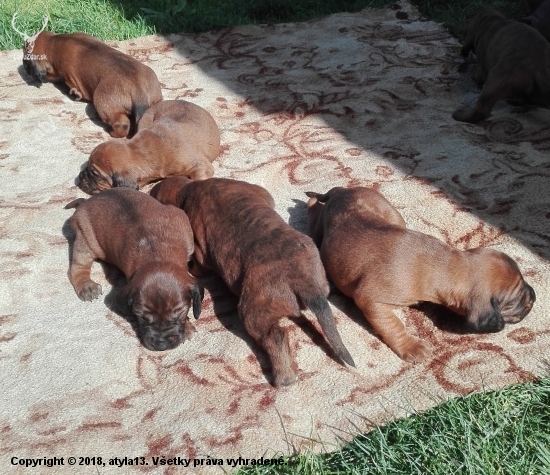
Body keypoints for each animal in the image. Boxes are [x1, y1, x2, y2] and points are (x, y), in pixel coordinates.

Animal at [23, 31, 162, 138]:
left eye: (26, 57)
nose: (23, 67)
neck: (54, 43)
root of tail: (139, 92)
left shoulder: (73, 82)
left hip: (102, 102)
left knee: (122, 124)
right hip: (156, 100)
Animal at [65, 188, 203, 352]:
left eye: (180, 314)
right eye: (141, 317)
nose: (161, 345)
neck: (156, 255)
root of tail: (85, 202)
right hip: (85, 241)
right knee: (76, 267)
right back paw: (86, 285)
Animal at [151, 177, 358, 388]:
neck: (189, 189)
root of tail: (305, 282)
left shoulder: (200, 253)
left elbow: (197, 265)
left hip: (253, 312)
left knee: (276, 337)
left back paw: (284, 379)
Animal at [306, 188, 536, 362]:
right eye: (513, 301)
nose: (534, 295)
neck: (446, 264)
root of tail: (341, 191)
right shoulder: (371, 300)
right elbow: (393, 325)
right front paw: (411, 346)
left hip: (392, 214)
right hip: (318, 232)